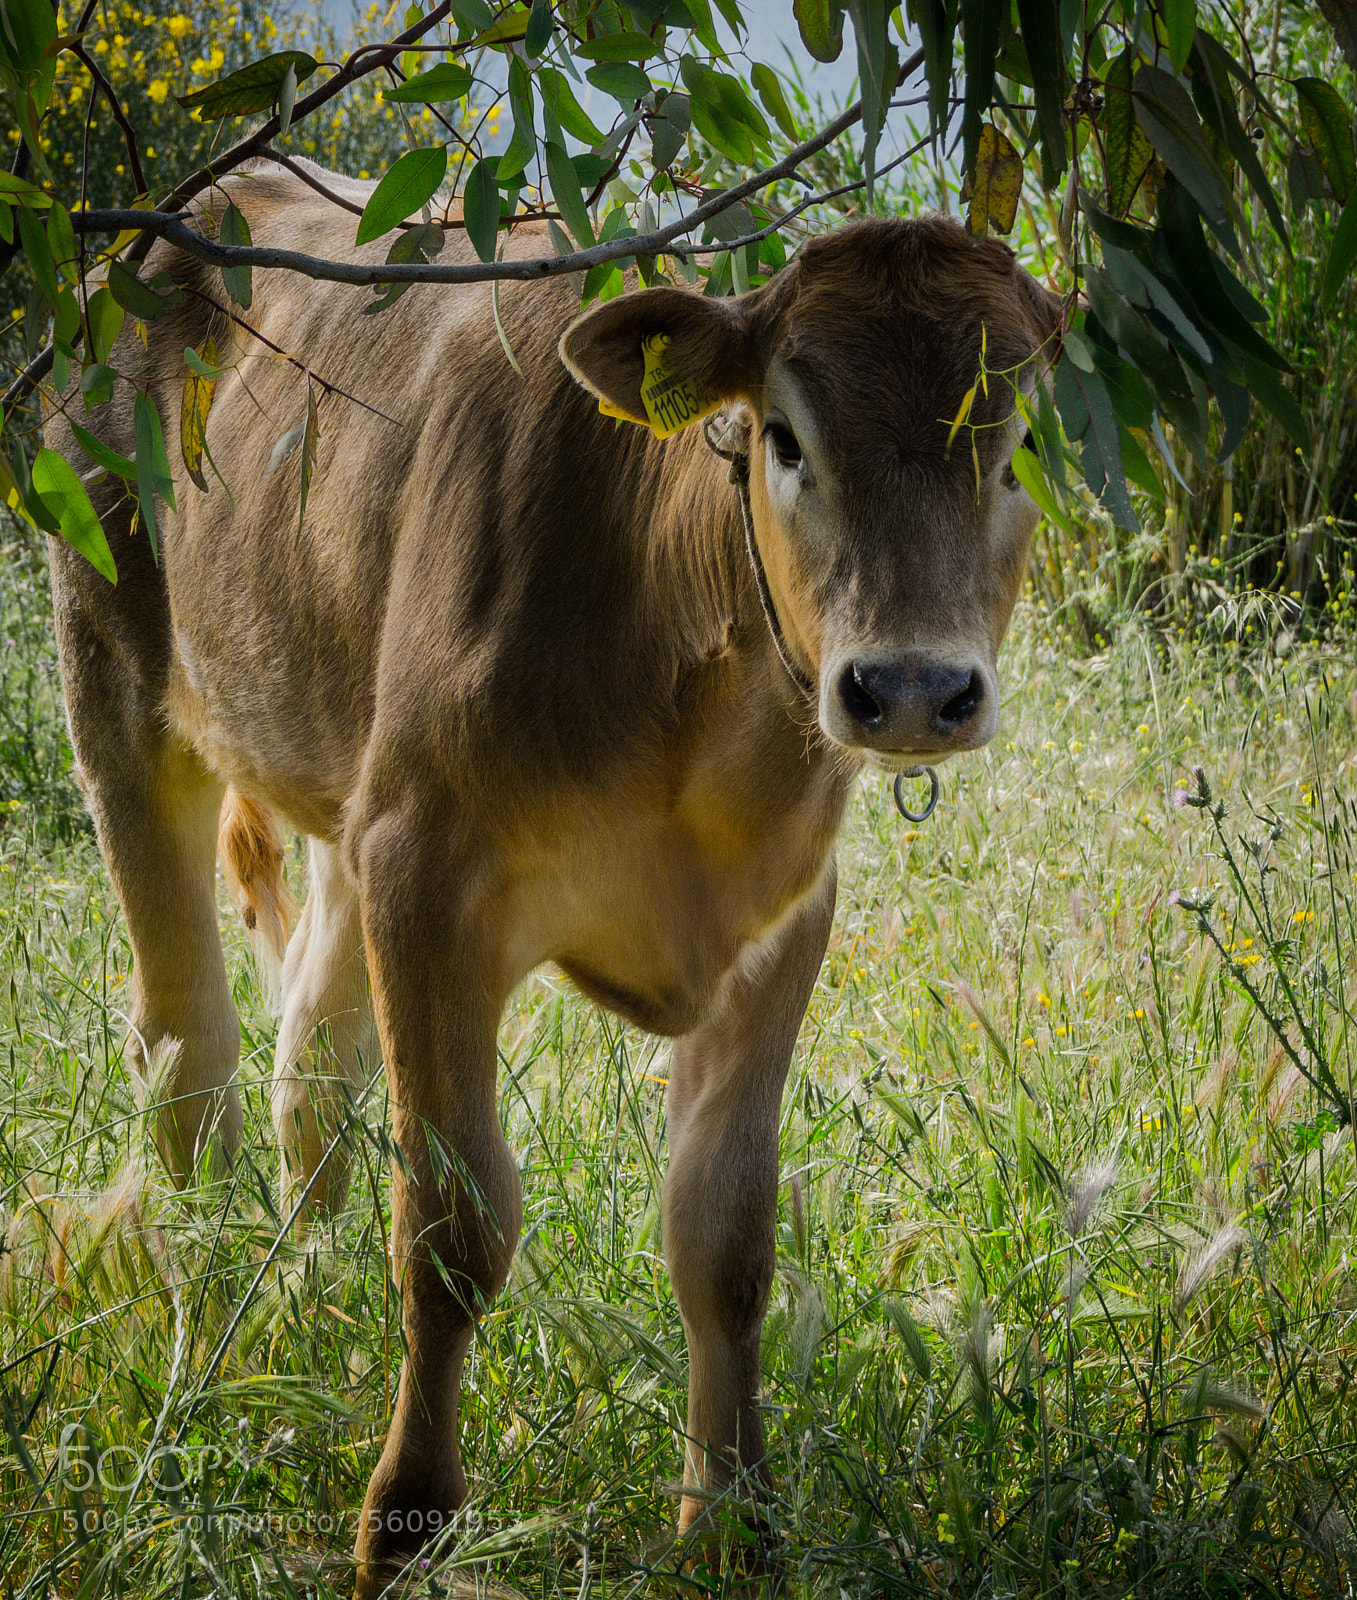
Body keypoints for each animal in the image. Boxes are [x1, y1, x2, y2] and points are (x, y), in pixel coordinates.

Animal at [45, 158, 1060, 1596]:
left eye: (1018, 445)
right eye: (785, 436)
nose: (910, 688)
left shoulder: (780, 921)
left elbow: (724, 1237)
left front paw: (731, 1521)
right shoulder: (430, 873)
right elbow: (453, 1228)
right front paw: (403, 1523)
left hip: (347, 784)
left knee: (311, 1073)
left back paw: (297, 1311)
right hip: (120, 681)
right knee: (190, 1064)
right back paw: (202, 1368)